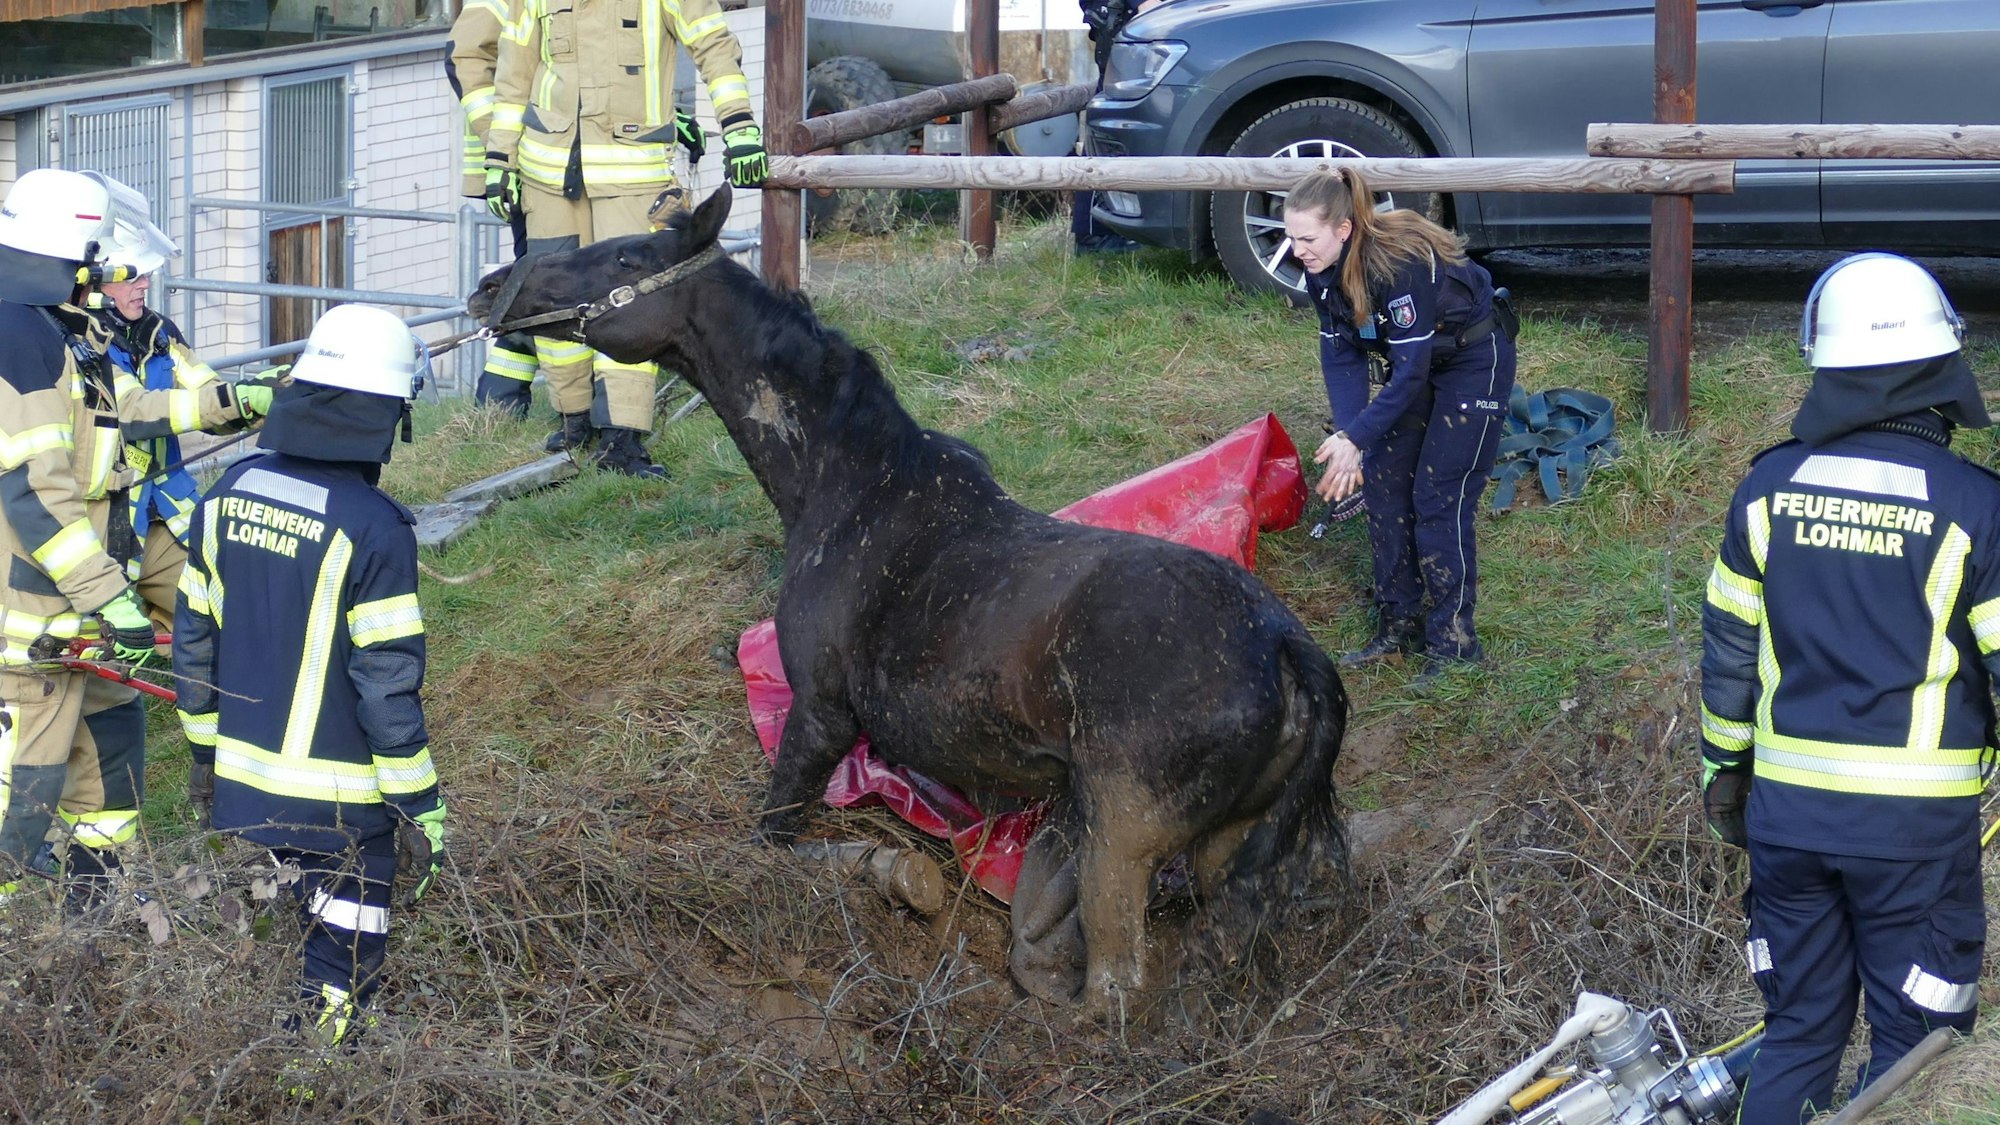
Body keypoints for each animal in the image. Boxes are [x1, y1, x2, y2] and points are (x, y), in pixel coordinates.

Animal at [468, 185, 1350, 1011]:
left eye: (627, 257)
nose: (491, 285)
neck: (838, 478)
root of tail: (1287, 649)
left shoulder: (822, 710)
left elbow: (773, 837)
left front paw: (886, 870)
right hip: (1224, 843)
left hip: (1121, 830)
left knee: (1116, 985)